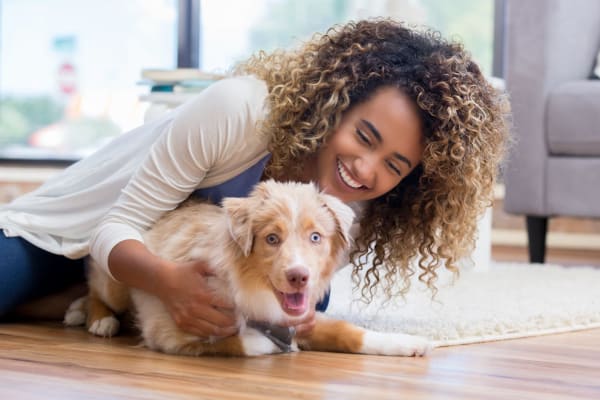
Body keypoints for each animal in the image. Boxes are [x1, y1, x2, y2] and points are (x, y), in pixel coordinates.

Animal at [64, 180, 432, 356]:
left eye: (315, 236)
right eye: (272, 238)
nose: (299, 276)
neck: (251, 285)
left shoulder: (300, 316)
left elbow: (349, 331)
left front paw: (409, 343)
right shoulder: (169, 332)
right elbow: (241, 341)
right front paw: (275, 344)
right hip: (115, 278)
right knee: (97, 289)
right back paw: (96, 318)